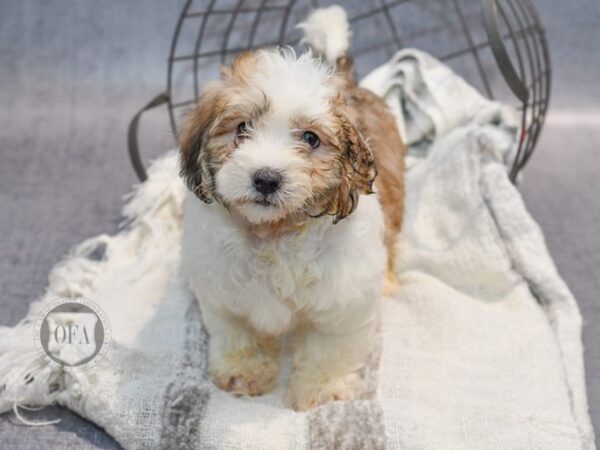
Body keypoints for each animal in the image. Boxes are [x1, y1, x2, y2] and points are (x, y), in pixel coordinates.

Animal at [178, 5, 404, 412]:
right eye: (242, 128)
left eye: (310, 139)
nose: (266, 179)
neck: (275, 232)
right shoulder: (224, 294)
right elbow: (239, 333)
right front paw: (244, 372)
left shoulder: (343, 304)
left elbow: (328, 348)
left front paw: (321, 388)